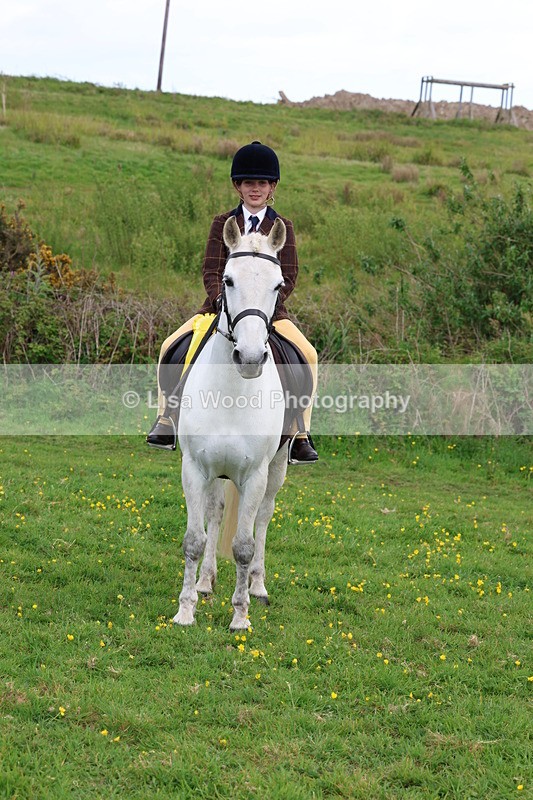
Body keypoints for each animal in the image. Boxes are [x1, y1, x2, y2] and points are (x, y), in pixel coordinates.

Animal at [173, 216, 289, 631]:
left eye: (278, 284)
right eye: (227, 279)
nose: (250, 357)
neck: (231, 392)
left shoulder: (254, 475)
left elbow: (243, 545)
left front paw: (241, 616)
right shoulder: (195, 468)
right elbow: (195, 539)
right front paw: (185, 610)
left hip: (276, 469)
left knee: (264, 519)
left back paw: (258, 586)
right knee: (216, 512)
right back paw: (206, 582)